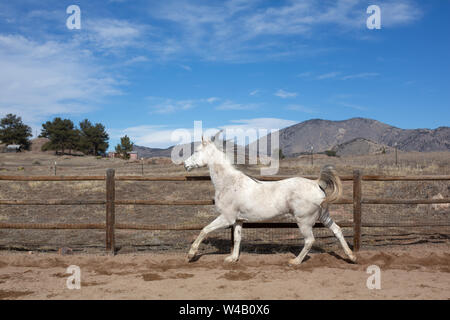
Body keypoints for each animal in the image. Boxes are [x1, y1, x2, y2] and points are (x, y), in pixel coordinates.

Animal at [182, 134, 356, 264]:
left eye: (196, 150)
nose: (185, 164)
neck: (229, 183)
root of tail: (316, 183)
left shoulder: (227, 218)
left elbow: (204, 230)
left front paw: (191, 254)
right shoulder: (238, 220)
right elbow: (237, 239)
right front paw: (232, 258)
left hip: (304, 220)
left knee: (310, 240)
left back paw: (295, 261)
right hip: (323, 216)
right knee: (337, 230)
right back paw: (352, 256)